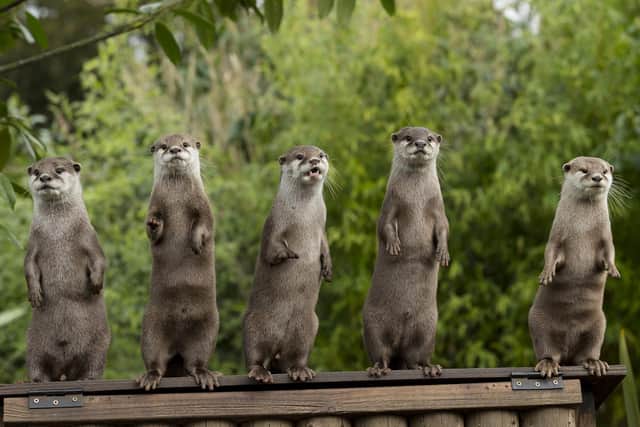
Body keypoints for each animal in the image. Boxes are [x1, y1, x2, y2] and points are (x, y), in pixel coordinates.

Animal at [24, 157, 110, 382]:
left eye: (59, 170)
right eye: (36, 172)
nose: (45, 177)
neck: (59, 232)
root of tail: (64, 367)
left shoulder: (89, 237)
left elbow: (99, 259)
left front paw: (95, 284)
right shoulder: (33, 244)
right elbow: (28, 267)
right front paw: (34, 294)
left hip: (100, 344)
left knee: (92, 365)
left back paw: (88, 378)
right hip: (34, 344)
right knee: (37, 366)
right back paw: (37, 380)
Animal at [137, 134, 220, 391]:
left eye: (185, 144)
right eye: (163, 146)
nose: (174, 149)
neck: (177, 201)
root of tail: (177, 348)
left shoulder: (204, 206)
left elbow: (204, 225)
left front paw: (196, 243)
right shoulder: (155, 206)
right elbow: (152, 231)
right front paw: (154, 225)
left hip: (208, 327)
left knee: (196, 360)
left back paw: (205, 374)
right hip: (151, 327)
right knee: (155, 359)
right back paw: (150, 376)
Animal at [243, 145, 332, 383]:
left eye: (321, 154)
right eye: (300, 156)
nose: (314, 160)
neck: (305, 218)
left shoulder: (321, 228)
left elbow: (325, 245)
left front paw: (327, 267)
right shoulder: (274, 223)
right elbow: (272, 249)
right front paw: (291, 254)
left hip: (308, 328)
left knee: (295, 357)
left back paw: (300, 370)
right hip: (255, 324)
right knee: (255, 355)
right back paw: (260, 373)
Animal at [363, 127, 449, 377]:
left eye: (429, 138)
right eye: (408, 137)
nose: (420, 143)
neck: (417, 199)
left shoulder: (438, 209)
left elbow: (444, 229)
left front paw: (443, 253)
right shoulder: (391, 205)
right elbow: (384, 227)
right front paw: (393, 245)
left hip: (428, 327)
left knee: (416, 357)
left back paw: (429, 367)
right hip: (372, 323)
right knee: (381, 352)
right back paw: (378, 369)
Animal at [529, 156, 620, 378]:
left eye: (604, 171)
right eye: (584, 170)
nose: (597, 177)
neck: (583, 228)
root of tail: (567, 353)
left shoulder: (605, 236)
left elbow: (609, 251)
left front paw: (612, 269)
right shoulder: (557, 235)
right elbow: (550, 252)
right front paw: (547, 273)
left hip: (599, 325)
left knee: (587, 352)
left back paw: (594, 363)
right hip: (537, 322)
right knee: (547, 350)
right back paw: (548, 364)